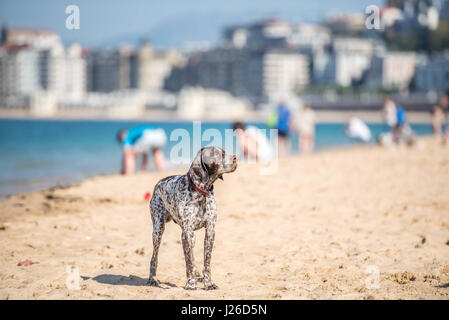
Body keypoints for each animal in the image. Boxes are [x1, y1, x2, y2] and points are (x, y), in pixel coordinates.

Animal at [148, 148, 238, 290]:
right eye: (215, 154)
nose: (235, 158)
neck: (202, 193)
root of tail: (159, 182)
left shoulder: (210, 231)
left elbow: (206, 262)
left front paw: (208, 283)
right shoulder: (186, 233)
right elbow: (189, 261)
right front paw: (191, 283)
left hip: (192, 237)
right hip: (158, 230)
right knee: (154, 257)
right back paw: (152, 279)